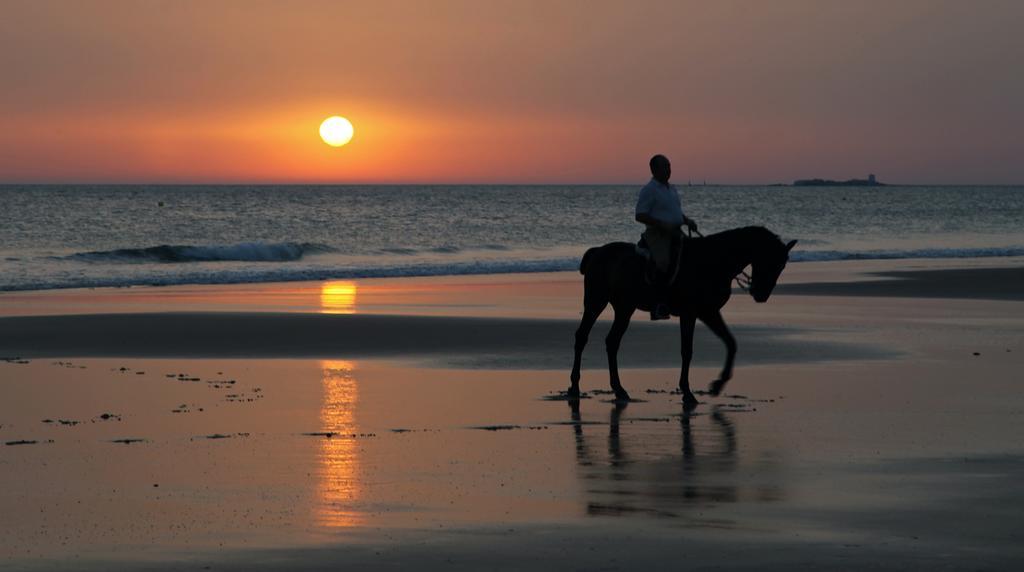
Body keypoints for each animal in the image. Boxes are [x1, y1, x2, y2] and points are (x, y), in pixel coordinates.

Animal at [569, 226, 790, 405]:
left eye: (782, 266)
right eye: (773, 262)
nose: (761, 294)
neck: (714, 260)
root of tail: (598, 251)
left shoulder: (709, 312)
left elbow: (730, 342)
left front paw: (718, 384)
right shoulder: (692, 313)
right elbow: (687, 350)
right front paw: (688, 392)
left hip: (624, 308)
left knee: (611, 341)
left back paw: (616, 389)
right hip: (596, 302)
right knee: (584, 337)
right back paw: (577, 385)